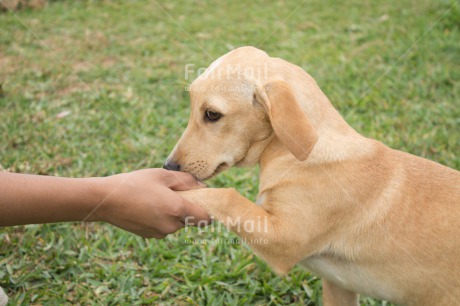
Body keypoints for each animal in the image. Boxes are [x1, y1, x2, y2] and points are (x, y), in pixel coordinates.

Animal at [165, 46, 460, 304]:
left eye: (212, 114)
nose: (169, 167)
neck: (302, 156)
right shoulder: (339, 287)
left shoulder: (282, 239)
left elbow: (226, 196)